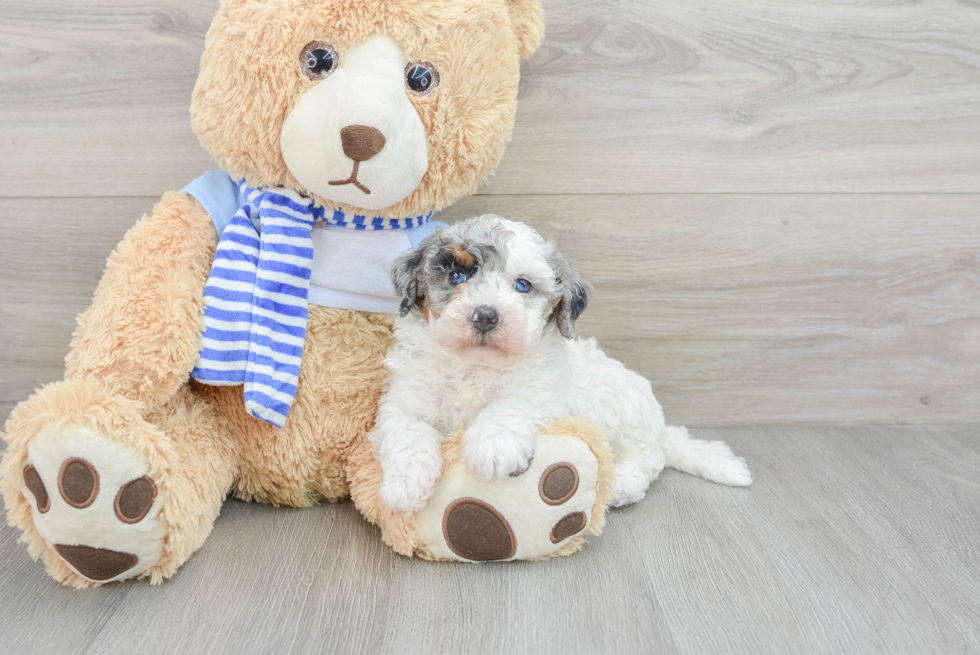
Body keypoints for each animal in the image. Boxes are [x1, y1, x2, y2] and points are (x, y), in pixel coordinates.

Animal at [374, 215, 752, 512]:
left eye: (523, 285)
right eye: (456, 277)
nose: (485, 315)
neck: (475, 365)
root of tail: (660, 428)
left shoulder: (543, 395)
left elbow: (509, 404)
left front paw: (491, 446)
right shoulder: (403, 404)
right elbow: (407, 432)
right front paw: (404, 486)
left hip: (627, 412)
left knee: (650, 457)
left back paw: (622, 484)